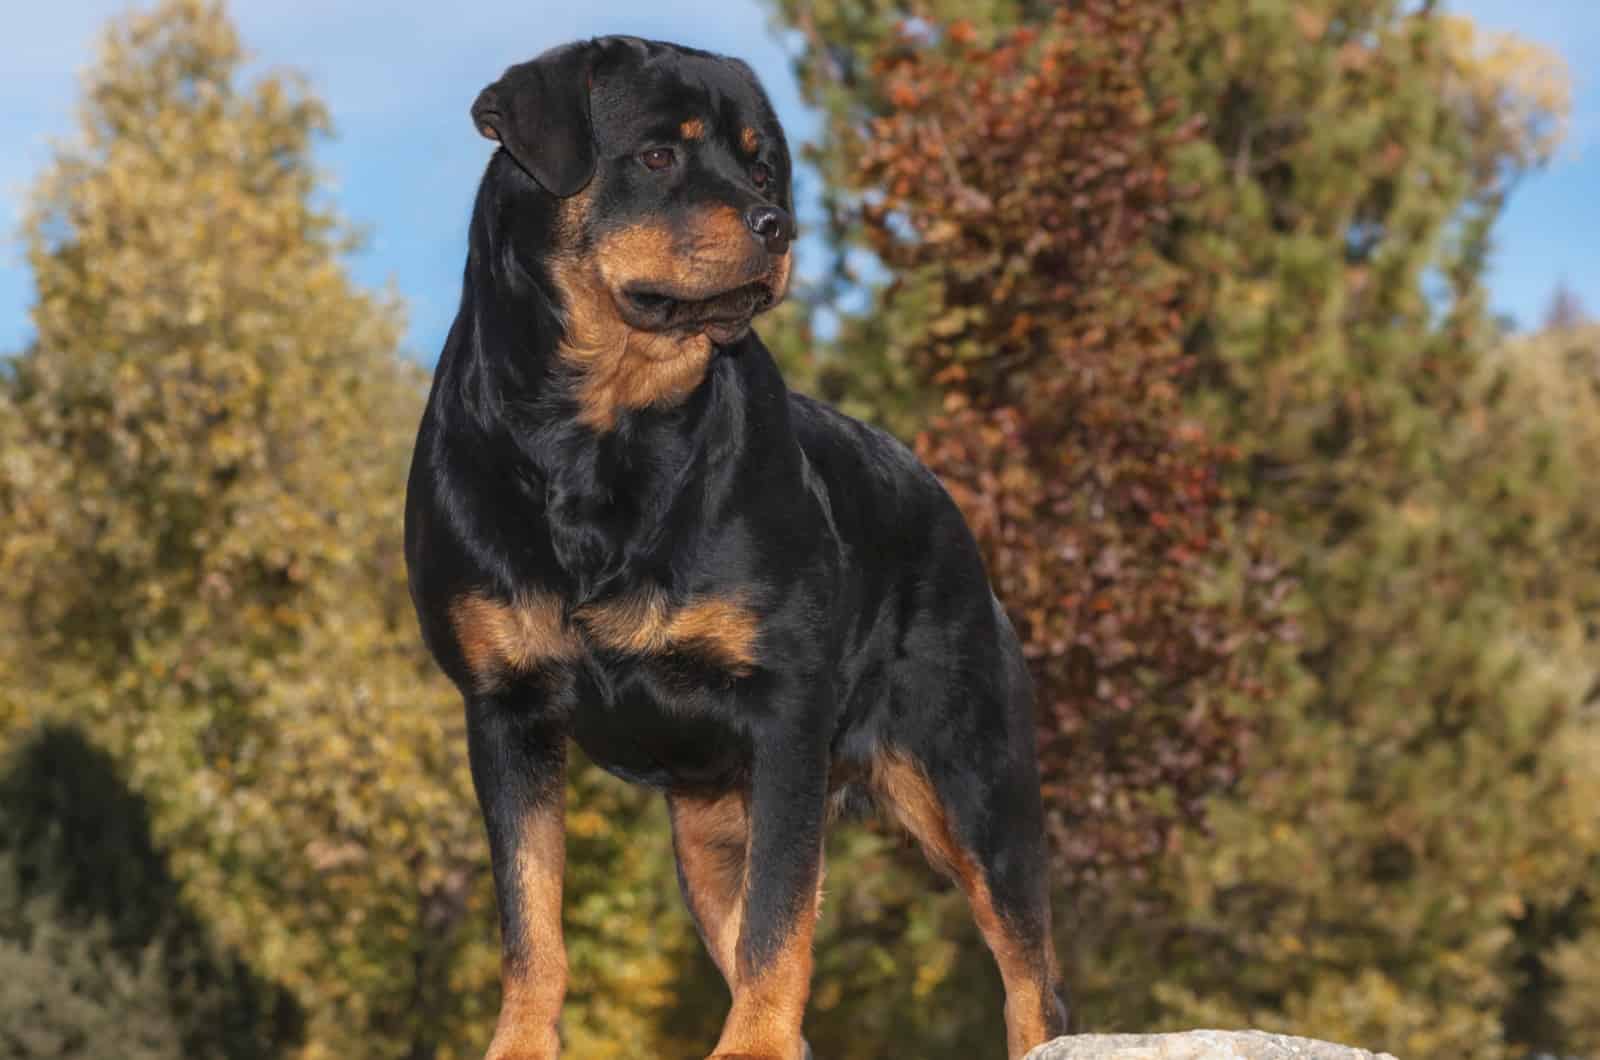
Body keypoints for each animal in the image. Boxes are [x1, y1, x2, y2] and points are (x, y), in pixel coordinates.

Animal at [406, 35, 1068, 1060]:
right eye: (656, 156)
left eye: (762, 167)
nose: (778, 223)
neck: (598, 433)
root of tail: (946, 505)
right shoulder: (504, 710)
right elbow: (531, 921)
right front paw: (518, 1044)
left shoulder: (787, 710)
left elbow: (778, 923)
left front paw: (748, 1043)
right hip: (711, 822)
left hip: (973, 776)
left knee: (1031, 975)